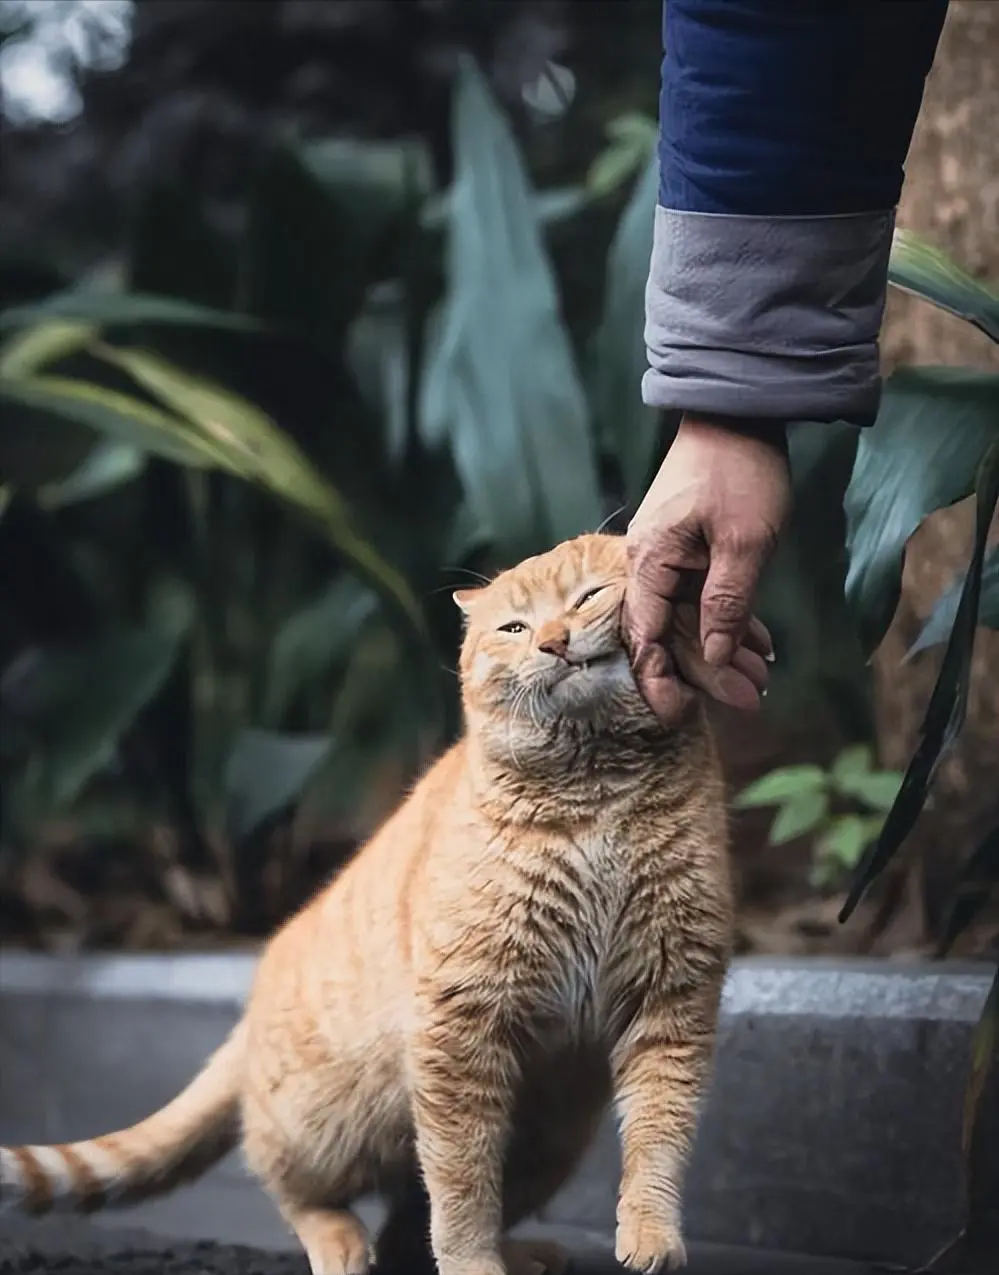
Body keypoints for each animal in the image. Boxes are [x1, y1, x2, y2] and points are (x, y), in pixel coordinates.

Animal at [0, 532, 733, 1275]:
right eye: (514, 628)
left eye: (587, 597)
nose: (553, 641)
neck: (594, 795)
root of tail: (256, 993)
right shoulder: (459, 1023)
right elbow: (461, 1180)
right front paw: (472, 1265)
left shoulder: (674, 997)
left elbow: (658, 1136)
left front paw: (650, 1234)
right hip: (332, 1121)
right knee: (292, 1182)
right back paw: (340, 1239)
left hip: (550, 1134)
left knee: (409, 1222)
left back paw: (519, 1251)